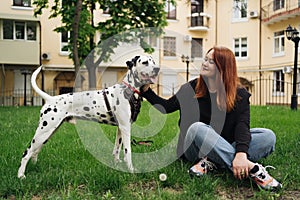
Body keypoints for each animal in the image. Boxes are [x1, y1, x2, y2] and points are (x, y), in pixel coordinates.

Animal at [17, 55, 159, 178]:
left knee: (35, 152)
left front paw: (117, 164)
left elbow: (117, 149)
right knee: (26, 153)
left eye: (153, 61)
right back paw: (21, 175)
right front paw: (131, 169)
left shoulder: (121, 128)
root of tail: (50, 99)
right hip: (43, 132)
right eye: (145, 62)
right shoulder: (125, 128)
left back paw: (35, 166)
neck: (128, 91)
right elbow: (127, 151)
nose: (157, 69)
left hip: (47, 133)